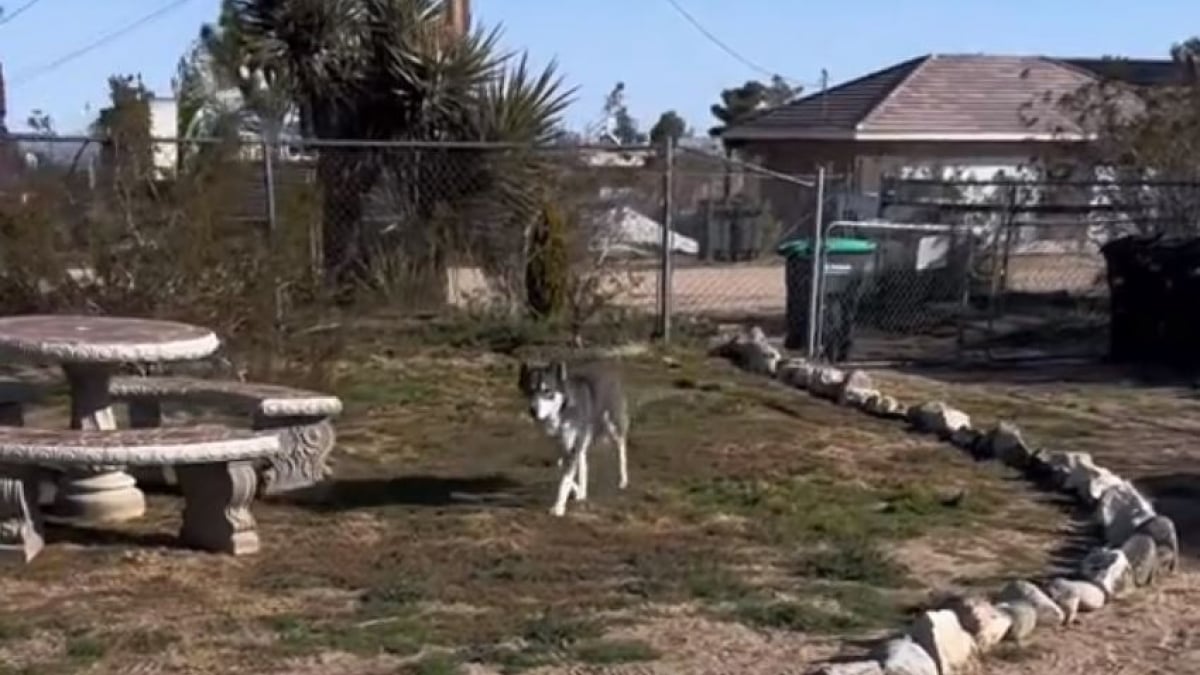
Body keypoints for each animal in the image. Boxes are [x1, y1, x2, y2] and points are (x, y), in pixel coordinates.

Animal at [516, 360, 628, 511]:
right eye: (529, 390)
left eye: (547, 391)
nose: (533, 411)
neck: (561, 410)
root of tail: (607, 367)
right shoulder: (561, 447)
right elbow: (563, 469)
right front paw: (578, 491)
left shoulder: (572, 449)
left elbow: (565, 479)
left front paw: (558, 507)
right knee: (583, 462)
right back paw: (582, 492)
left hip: (613, 428)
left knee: (621, 450)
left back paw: (623, 480)